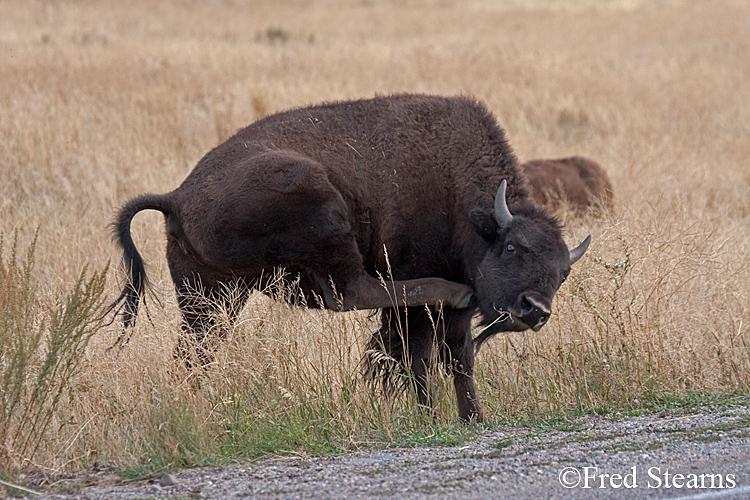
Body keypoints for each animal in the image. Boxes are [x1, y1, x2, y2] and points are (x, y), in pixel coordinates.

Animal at [106, 94, 592, 422]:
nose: (535, 309)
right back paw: (457, 293)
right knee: (350, 292)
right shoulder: (415, 287)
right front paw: (431, 417)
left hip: (212, 297)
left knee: (194, 353)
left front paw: (473, 419)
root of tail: (178, 196)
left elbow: (458, 358)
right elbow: (418, 355)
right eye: (511, 247)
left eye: (563, 273)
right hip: (319, 203)